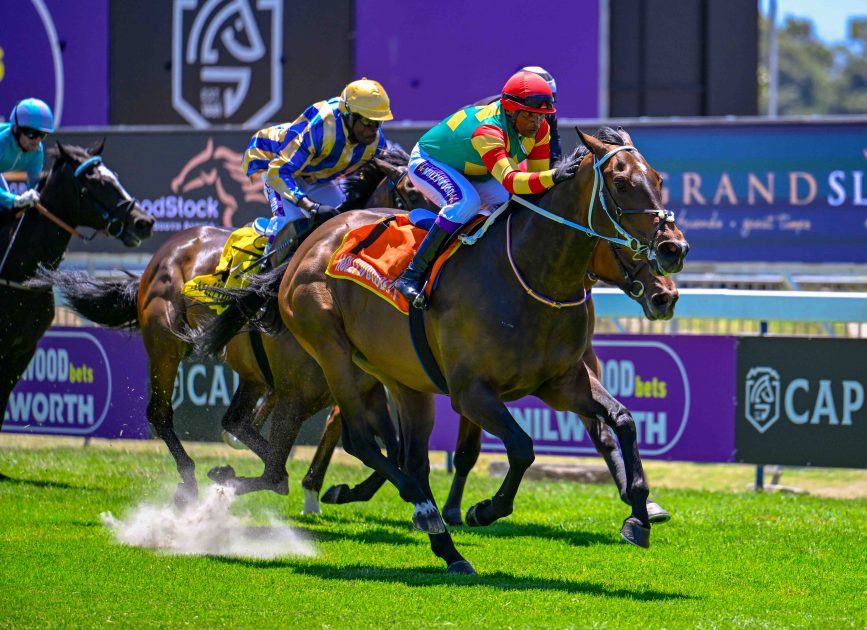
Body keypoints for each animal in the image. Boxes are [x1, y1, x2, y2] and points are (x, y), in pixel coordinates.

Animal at [193, 127, 688, 572]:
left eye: (658, 179)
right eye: (622, 183)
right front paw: (481, 509)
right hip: (329, 353)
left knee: (405, 454)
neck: (530, 275)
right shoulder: (471, 392)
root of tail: (311, 243)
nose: (673, 250)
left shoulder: (562, 381)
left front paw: (639, 514)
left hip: (400, 378)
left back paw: (446, 548)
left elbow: (620, 421)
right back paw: (420, 511)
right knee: (361, 439)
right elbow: (522, 447)